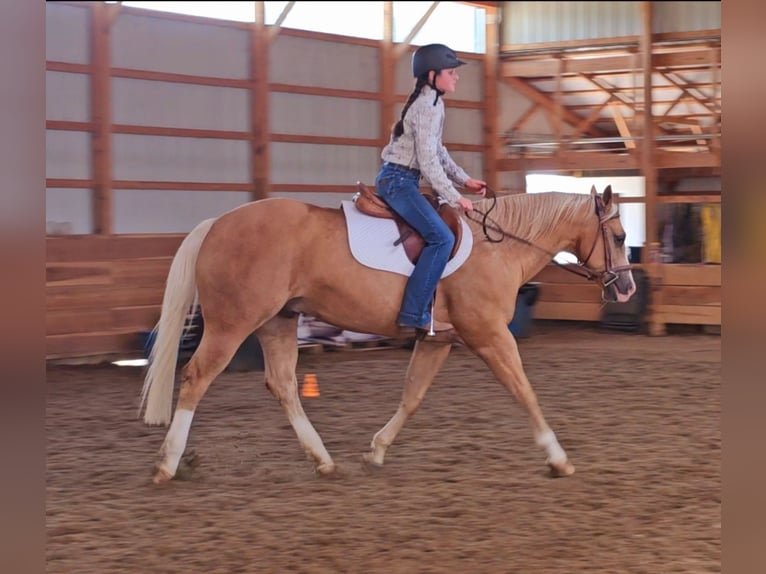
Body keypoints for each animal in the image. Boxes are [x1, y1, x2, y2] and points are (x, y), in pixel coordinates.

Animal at [138, 184, 636, 486]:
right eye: (618, 235)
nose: (627, 288)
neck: (500, 246)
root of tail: (217, 224)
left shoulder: (437, 340)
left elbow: (412, 396)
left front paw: (376, 451)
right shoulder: (491, 336)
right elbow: (525, 392)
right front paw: (557, 457)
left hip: (278, 321)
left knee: (282, 385)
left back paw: (323, 460)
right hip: (233, 324)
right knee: (196, 378)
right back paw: (168, 463)